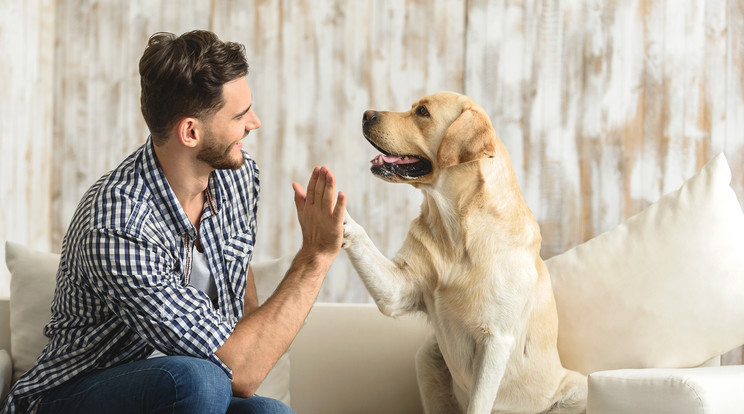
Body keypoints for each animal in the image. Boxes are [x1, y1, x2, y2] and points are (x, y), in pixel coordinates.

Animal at [342, 92, 588, 412]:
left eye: (423, 112)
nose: (366, 114)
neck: (456, 229)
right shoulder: (398, 290)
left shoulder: (495, 340)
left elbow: (479, 403)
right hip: (428, 357)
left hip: (578, 388)